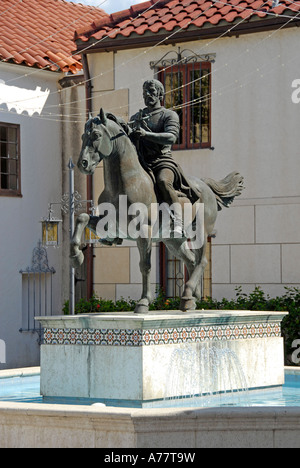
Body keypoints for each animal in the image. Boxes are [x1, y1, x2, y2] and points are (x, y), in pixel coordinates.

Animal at [70, 109, 244, 314]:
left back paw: (188, 295)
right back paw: (191, 298)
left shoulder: (143, 232)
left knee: (201, 261)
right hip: (173, 241)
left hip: (200, 232)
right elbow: (82, 217)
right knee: (191, 260)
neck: (125, 183)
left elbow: (145, 266)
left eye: (96, 135)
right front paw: (76, 257)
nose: (83, 164)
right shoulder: (110, 226)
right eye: (83, 136)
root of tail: (205, 186)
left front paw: (144, 302)